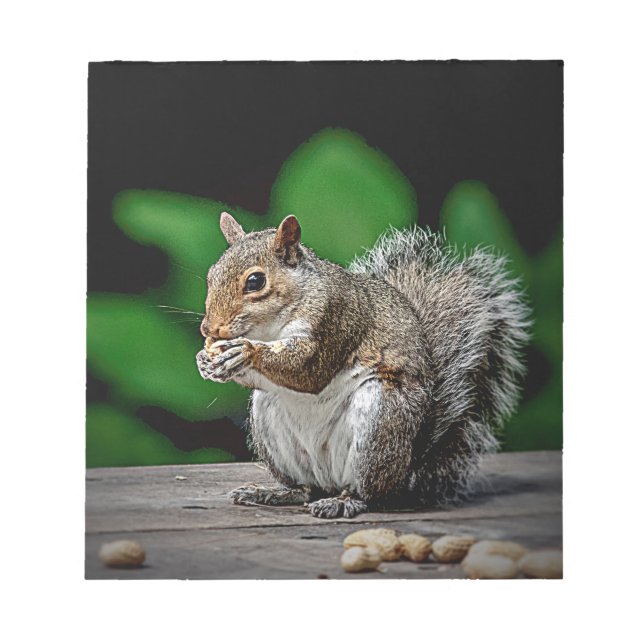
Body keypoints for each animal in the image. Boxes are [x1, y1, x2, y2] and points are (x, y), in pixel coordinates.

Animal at [196, 211, 531, 519]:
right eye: (211, 274)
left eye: (255, 281)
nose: (208, 329)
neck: (269, 327)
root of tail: (408, 470)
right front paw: (206, 361)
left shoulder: (336, 318)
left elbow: (307, 370)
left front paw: (244, 351)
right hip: (270, 420)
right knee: (305, 489)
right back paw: (275, 493)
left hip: (380, 420)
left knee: (369, 493)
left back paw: (344, 502)